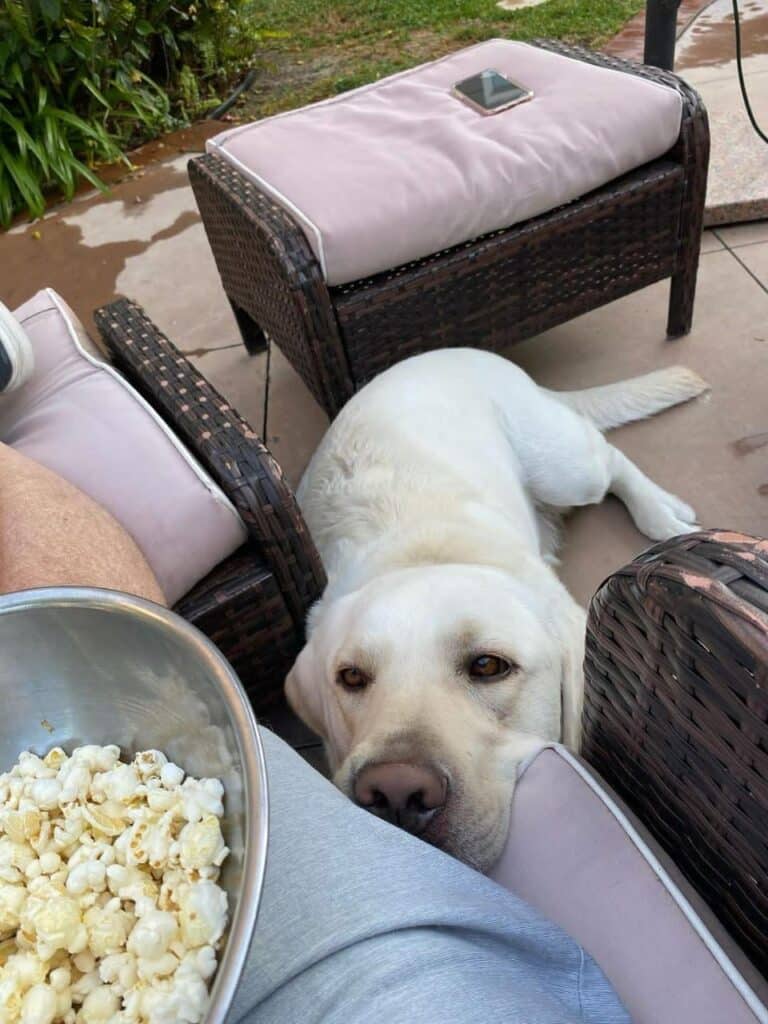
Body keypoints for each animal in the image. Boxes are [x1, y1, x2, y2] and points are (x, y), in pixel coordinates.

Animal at [286, 348, 708, 868]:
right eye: (350, 677)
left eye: (489, 665)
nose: (395, 792)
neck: (421, 555)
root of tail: (453, 351)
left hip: (565, 469)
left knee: (610, 458)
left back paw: (661, 512)